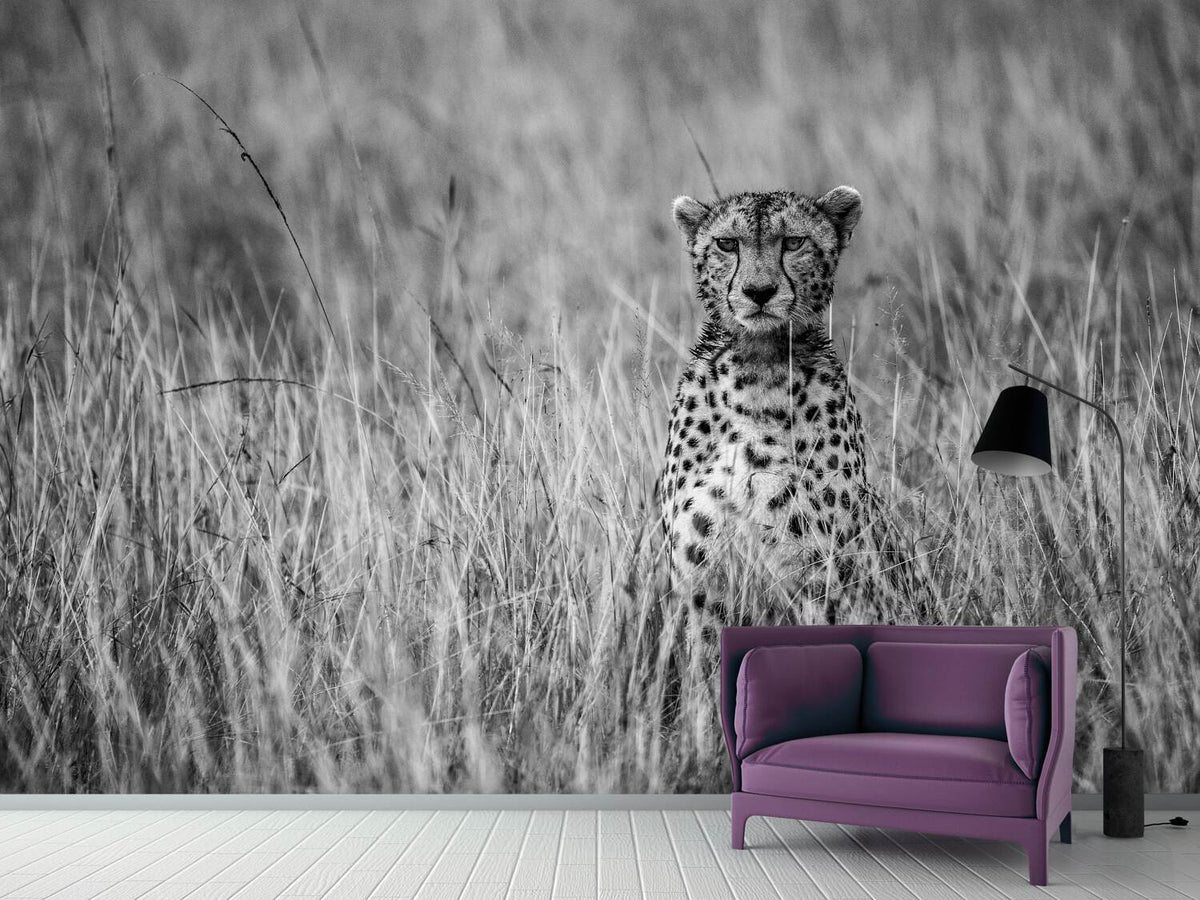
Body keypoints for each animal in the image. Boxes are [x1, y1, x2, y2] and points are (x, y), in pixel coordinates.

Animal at [658, 186, 919, 629]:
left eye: (794, 242)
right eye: (727, 244)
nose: (759, 291)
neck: (757, 366)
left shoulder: (822, 577)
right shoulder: (702, 583)